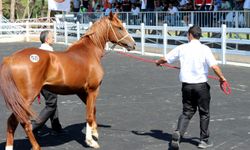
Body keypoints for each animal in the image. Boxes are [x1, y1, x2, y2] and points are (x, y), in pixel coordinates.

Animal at [0, 12, 135, 150]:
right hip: (25, 99)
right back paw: (36, 146)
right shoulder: (93, 90)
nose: (133, 44)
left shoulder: (81, 92)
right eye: (119, 27)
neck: (89, 52)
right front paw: (91, 141)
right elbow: (89, 115)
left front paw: (94, 132)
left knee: (12, 122)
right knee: (21, 122)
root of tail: (10, 59)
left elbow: (93, 111)